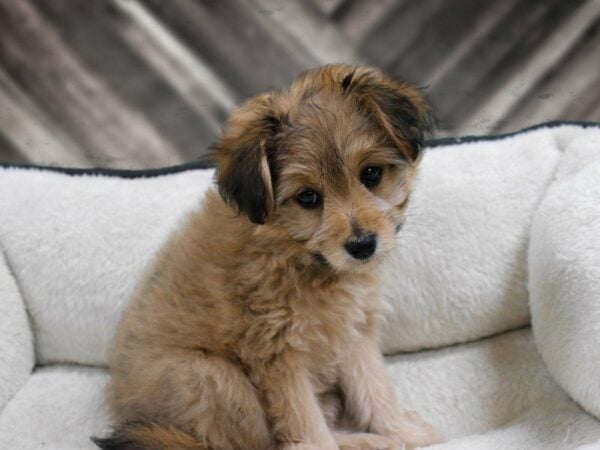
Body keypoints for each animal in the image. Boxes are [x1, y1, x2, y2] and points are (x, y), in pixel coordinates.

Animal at [94, 64, 440, 450]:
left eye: (371, 174)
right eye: (308, 197)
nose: (362, 244)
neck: (300, 256)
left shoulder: (353, 332)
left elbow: (375, 390)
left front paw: (403, 433)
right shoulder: (277, 356)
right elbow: (308, 425)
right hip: (214, 379)